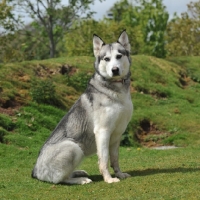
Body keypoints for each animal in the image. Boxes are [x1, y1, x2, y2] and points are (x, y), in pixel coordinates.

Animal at [31, 29, 133, 184]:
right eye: (106, 59)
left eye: (119, 56)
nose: (115, 70)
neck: (116, 90)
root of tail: (35, 171)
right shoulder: (103, 131)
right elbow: (104, 159)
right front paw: (108, 179)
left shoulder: (117, 133)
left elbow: (115, 158)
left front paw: (119, 174)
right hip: (74, 147)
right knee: (61, 179)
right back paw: (80, 180)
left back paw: (78, 173)